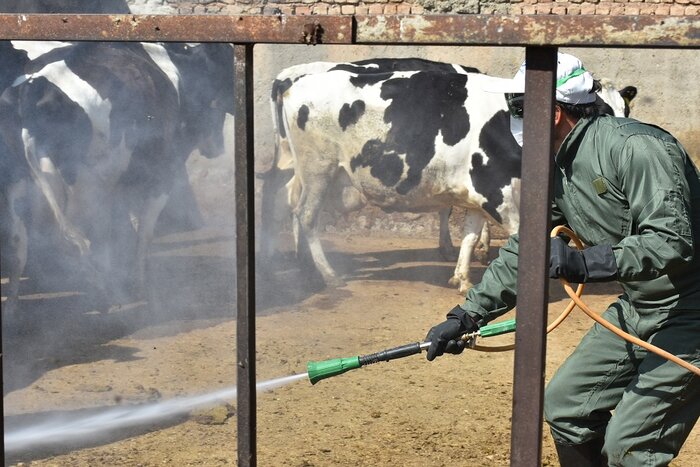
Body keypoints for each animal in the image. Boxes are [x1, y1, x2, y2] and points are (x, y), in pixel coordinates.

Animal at [262, 57, 636, 292]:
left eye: (626, 108)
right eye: (598, 110)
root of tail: (297, 82)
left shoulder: (478, 194)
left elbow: (469, 234)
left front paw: (461, 278)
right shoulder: (498, 191)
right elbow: (516, 237)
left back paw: (303, 266)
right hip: (318, 169)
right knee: (304, 215)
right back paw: (325, 275)